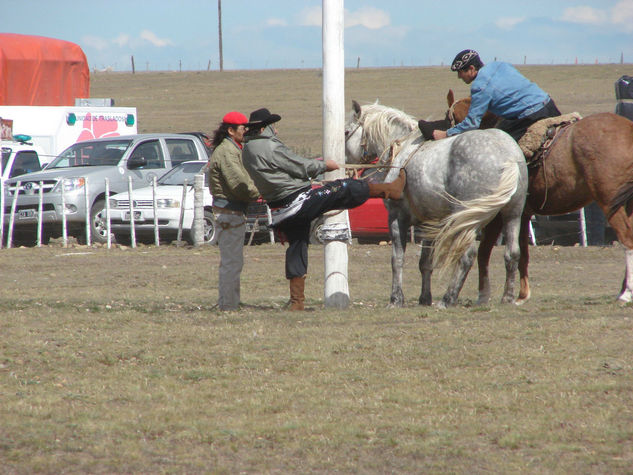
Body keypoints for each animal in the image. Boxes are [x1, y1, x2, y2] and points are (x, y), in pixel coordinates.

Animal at [346, 101, 528, 308]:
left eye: (346, 132)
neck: (403, 148)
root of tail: (507, 156)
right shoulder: (429, 223)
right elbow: (425, 262)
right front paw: (425, 298)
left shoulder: (396, 217)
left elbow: (397, 259)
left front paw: (396, 299)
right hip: (512, 215)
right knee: (512, 253)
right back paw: (507, 298)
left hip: (467, 220)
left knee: (467, 255)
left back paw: (448, 299)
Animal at [446, 89, 633, 304]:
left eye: (450, 118)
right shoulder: (523, 214)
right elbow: (522, 253)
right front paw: (522, 295)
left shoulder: (498, 216)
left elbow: (485, 252)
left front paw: (487, 295)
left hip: (610, 202)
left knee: (626, 238)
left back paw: (626, 293)